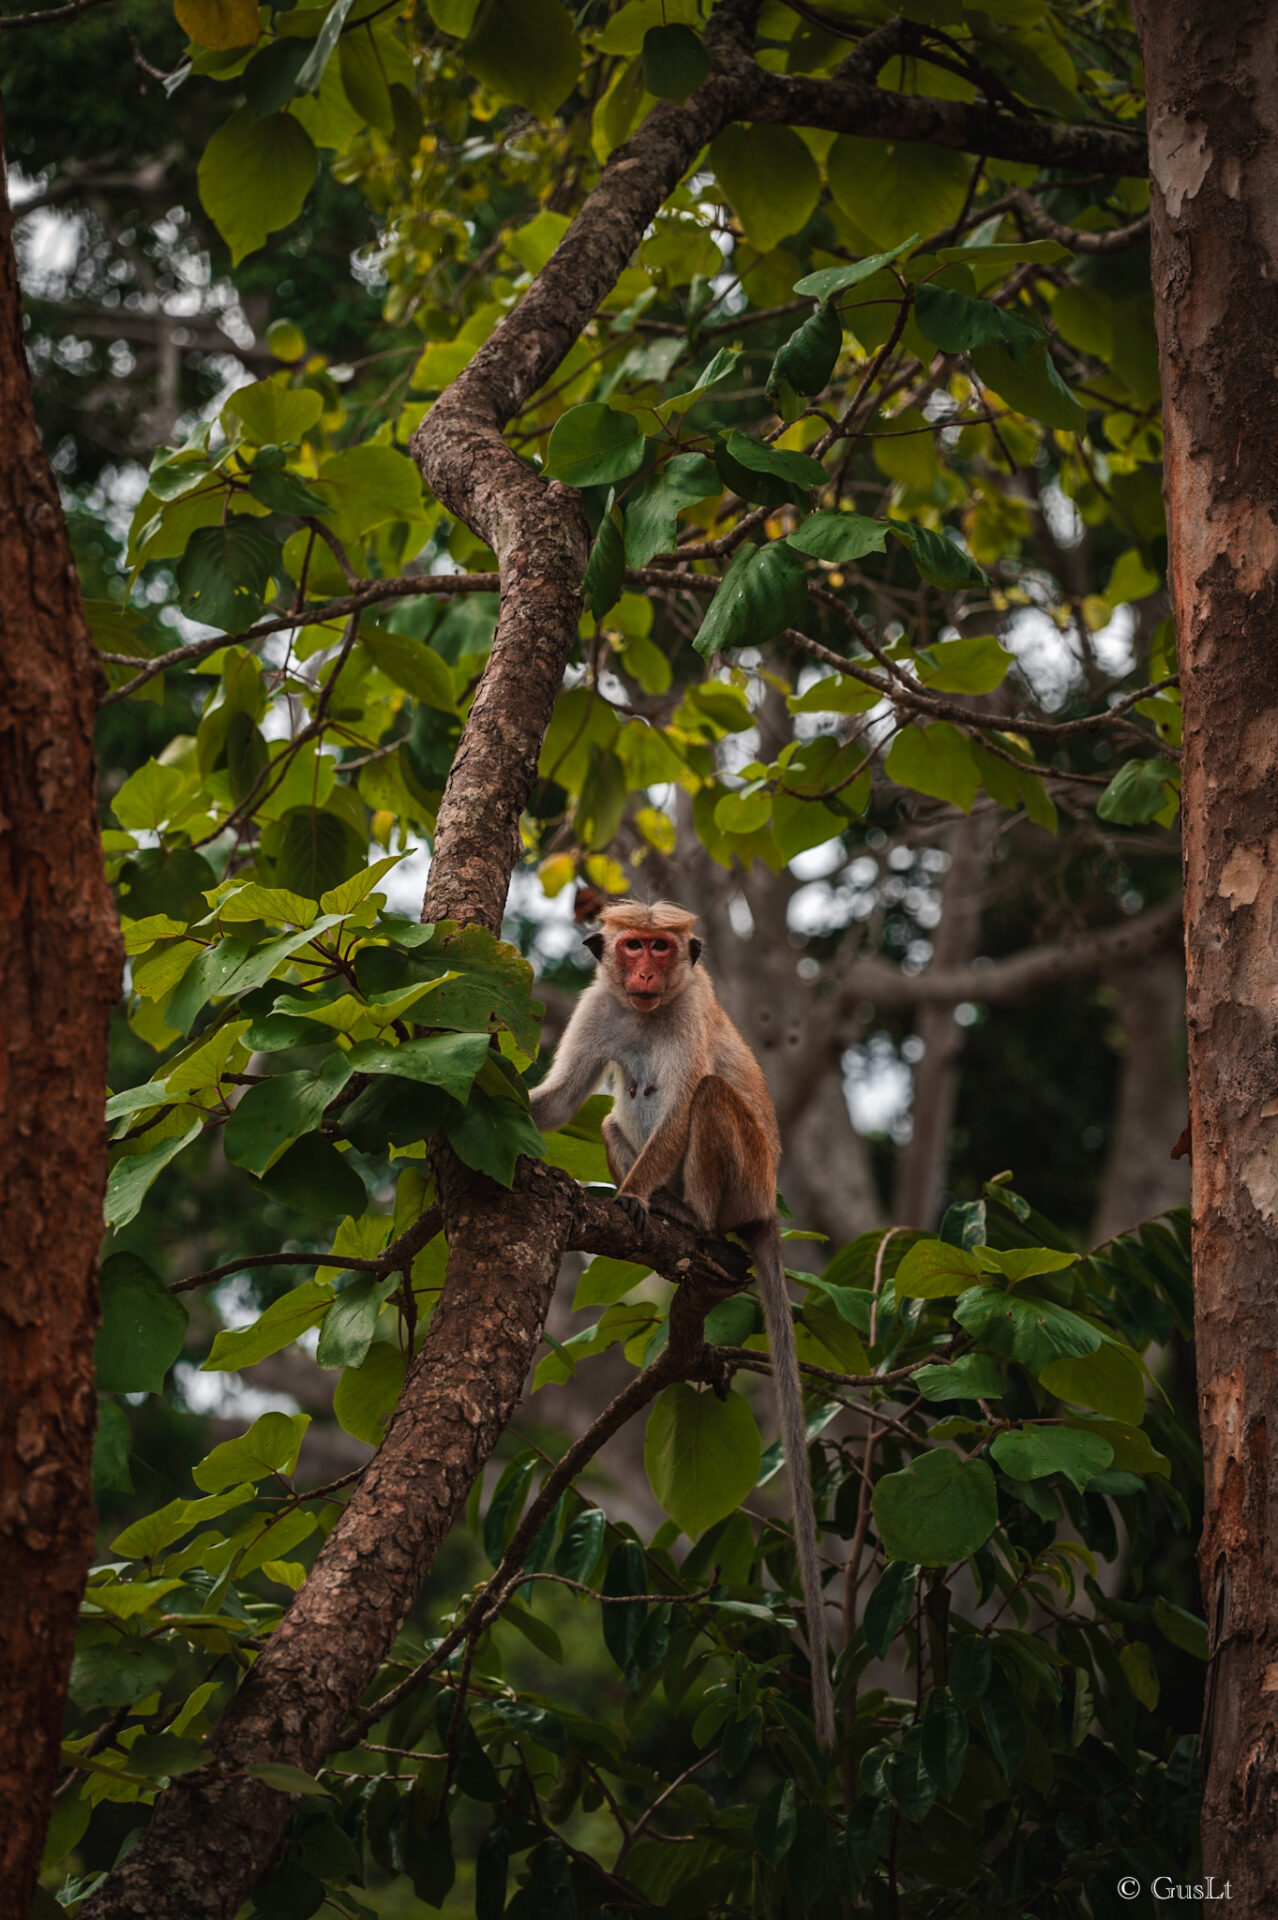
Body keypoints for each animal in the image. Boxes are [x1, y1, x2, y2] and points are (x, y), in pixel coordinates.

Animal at [529, 890, 836, 1751]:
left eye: (663, 949)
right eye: (632, 945)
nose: (643, 970)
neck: (648, 1009)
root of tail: (767, 1209)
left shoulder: (692, 1008)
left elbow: (684, 1095)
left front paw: (631, 1198)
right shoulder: (598, 1003)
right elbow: (561, 1101)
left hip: (745, 1179)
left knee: (704, 1099)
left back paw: (683, 1218)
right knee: (609, 1114)